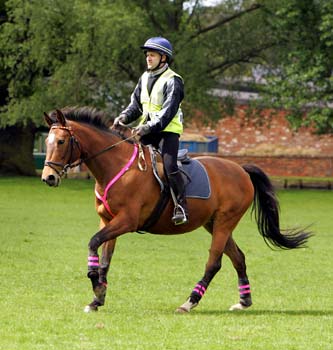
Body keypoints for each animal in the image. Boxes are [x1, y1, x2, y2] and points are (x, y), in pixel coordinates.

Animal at [41, 107, 312, 314]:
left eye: (61, 141)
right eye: (46, 142)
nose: (48, 178)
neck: (116, 166)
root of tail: (241, 170)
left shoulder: (126, 221)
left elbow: (93, 242)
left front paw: (96, 284)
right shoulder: (107, 220)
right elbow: (104, 258)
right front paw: (97, 296)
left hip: (225, 222)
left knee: (214, 263)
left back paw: (189, 302)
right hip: (214, 224)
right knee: (238, 258)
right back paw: (244, 301)